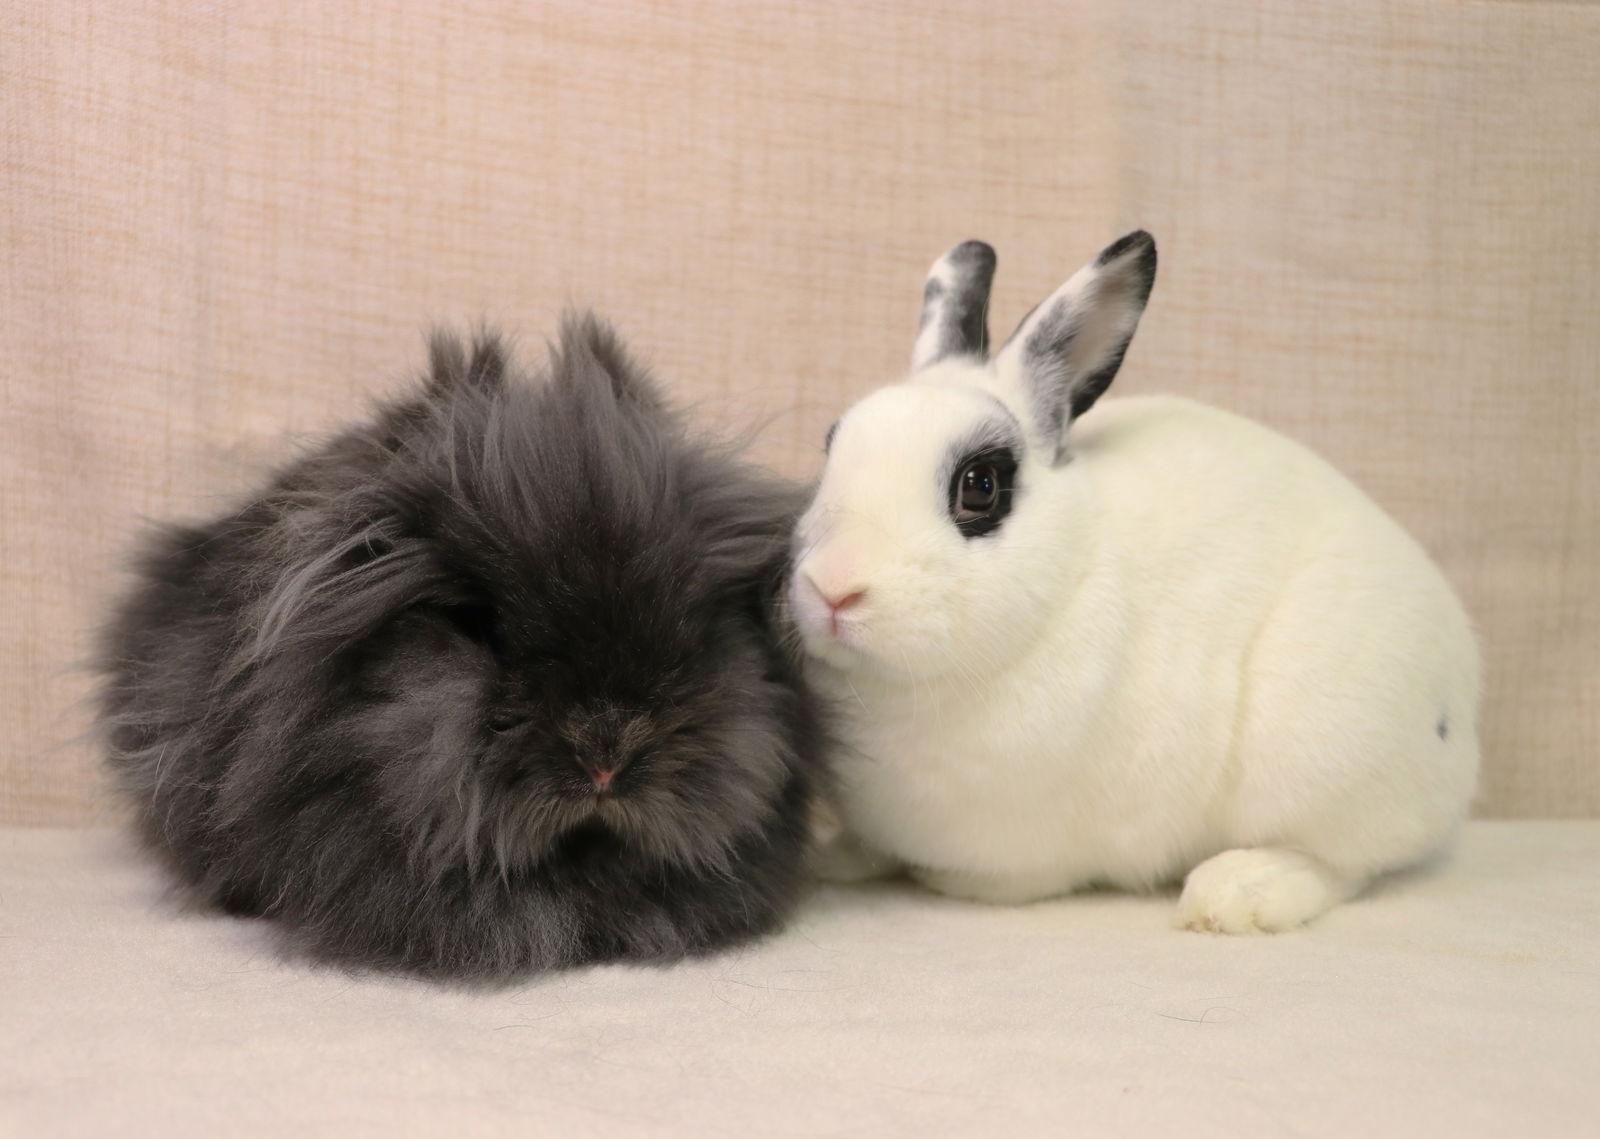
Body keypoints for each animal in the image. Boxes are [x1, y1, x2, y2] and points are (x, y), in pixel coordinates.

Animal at [790, 232, 1480, 933]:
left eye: (979, 486)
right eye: (830, 451)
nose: (833, 587)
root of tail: (1464, 709)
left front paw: (942, 881)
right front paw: (833, 857)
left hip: (1321, 760)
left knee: (1344, 862)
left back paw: (1236, 894)